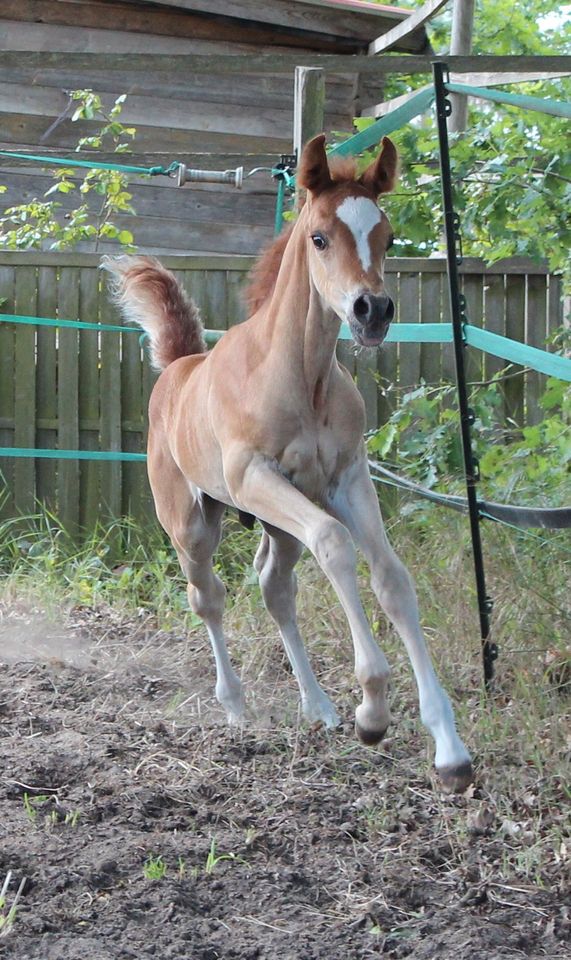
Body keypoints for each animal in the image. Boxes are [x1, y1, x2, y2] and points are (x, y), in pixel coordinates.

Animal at [106, 137, 474, 796]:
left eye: (386, 235)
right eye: (319, 237)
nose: (372, 310)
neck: (299, 376)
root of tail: (178, 368)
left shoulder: (347, 477)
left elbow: (391, 578)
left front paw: (449, 750)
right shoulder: (256, 478)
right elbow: (335, 545)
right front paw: (372, 709)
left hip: (279, 527)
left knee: (276, 589)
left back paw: (318, 706)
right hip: (194, 524)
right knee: (209, 597)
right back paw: (235, 705)